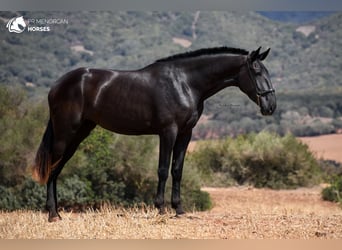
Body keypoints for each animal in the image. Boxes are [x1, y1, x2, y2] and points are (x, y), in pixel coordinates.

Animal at [32, 46, 276, 222]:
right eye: (257, 71)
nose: (271, 106)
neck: (185, 82)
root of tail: (56, 85)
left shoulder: (186, 133)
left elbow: (177, 170)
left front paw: (179, 209)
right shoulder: (168, 131)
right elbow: (162, 170)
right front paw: (160, 208)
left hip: (80, 133)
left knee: (57, 169)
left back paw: (56, 213)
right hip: (65, 134)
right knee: (52, 168)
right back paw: (52, 215)